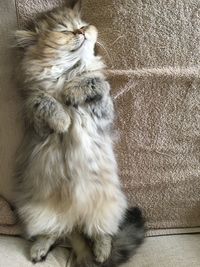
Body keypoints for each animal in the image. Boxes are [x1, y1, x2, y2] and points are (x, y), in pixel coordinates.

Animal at [14, 0, 145, 266]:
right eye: (65, 30)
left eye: (82, 25)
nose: (81, 32)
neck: (68, 72)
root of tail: (74, 220)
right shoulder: (35, 121)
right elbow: (41, 100)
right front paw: (63, 119)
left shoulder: (104, 111)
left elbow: (95, 81)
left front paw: (73, 92)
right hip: (36, 214)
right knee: (52, 233)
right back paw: (39, 250)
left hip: (110, 210)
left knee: (101, 234)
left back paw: (101, 253)